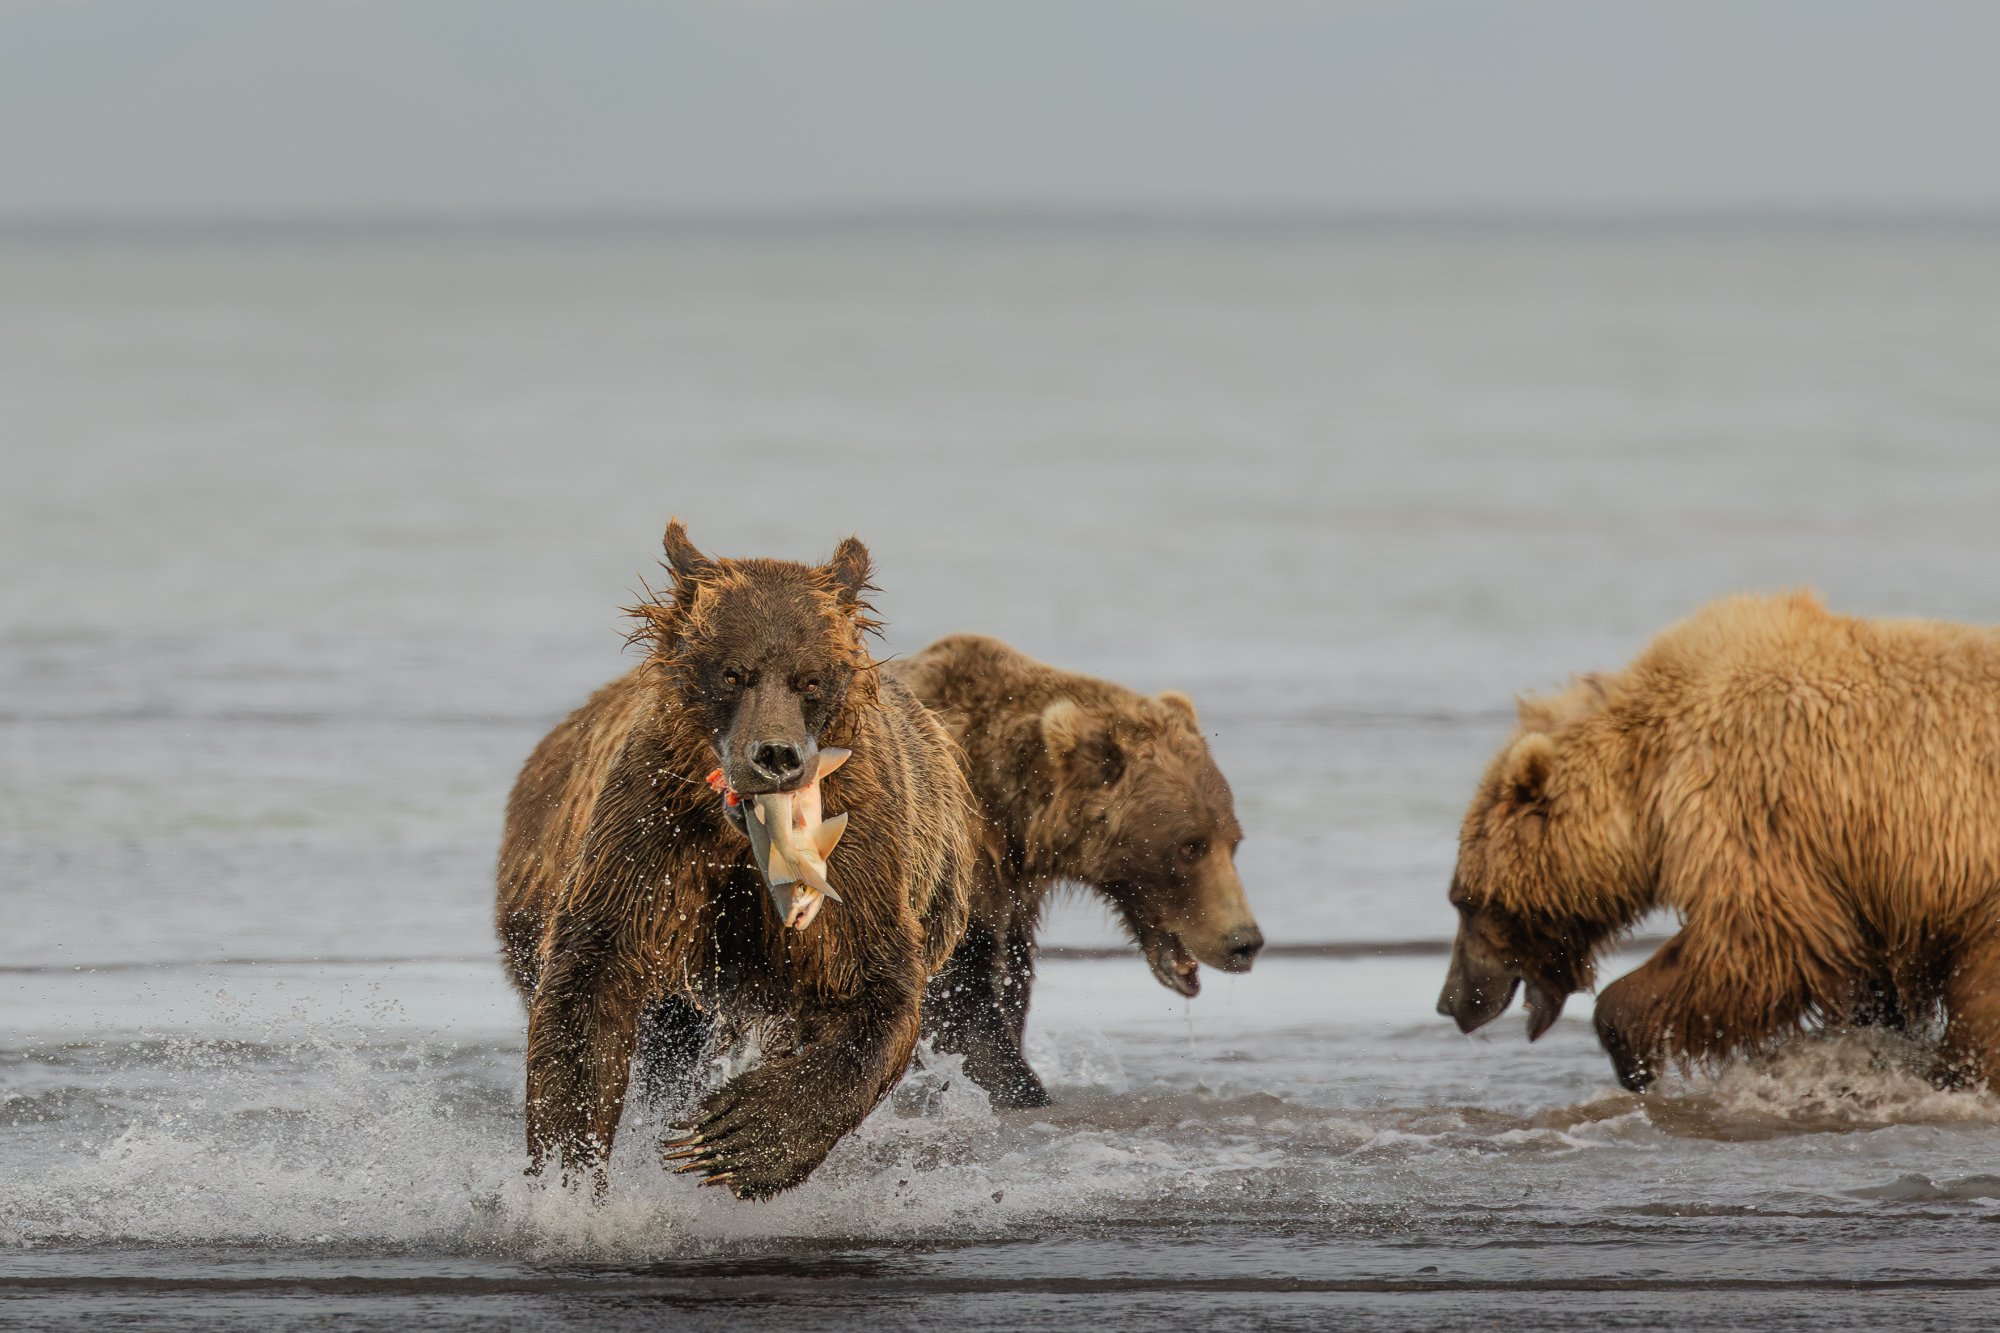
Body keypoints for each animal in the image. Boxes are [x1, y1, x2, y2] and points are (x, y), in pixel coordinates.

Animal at [495, 521, 974, 1199]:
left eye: (810, 678)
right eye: (732, 673)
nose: (775, 755)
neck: (741, 839)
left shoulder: (860, 854)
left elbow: (872, 991)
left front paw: (737, 1135)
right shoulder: (650, 842)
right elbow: (589, 988)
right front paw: (567, 1179)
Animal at [886, 634, 1264, 1108]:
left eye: (1233, 840)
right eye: (1190, 845)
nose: (1244, 941)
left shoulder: (1010, 892)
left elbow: (1009, 982)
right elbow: (957, 999)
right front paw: (1018, 1089)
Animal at [1436, 590, 2000, 1093]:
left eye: (1465, 902)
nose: (1451, 1000)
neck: (1645, 777)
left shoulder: (1751, 799)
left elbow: (1752, 940)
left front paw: (1629, 1049)